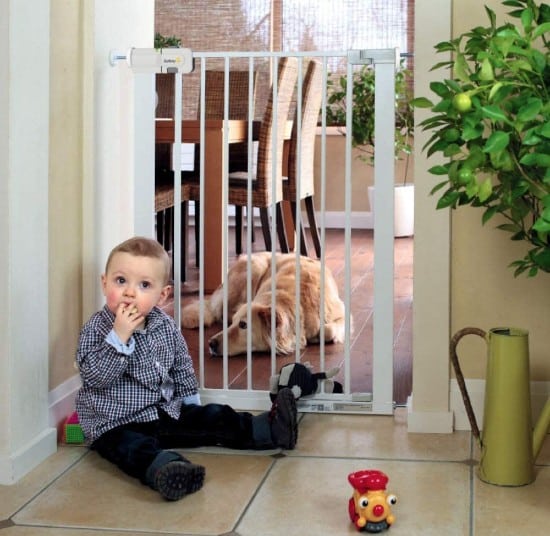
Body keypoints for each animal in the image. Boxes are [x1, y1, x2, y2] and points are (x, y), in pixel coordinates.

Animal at [181, 252, 350, 356]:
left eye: (243, 325)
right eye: (235, 323)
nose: (211, 343)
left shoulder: (343, 314)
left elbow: (328, 330)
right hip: (254, 268)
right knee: (218, 310)